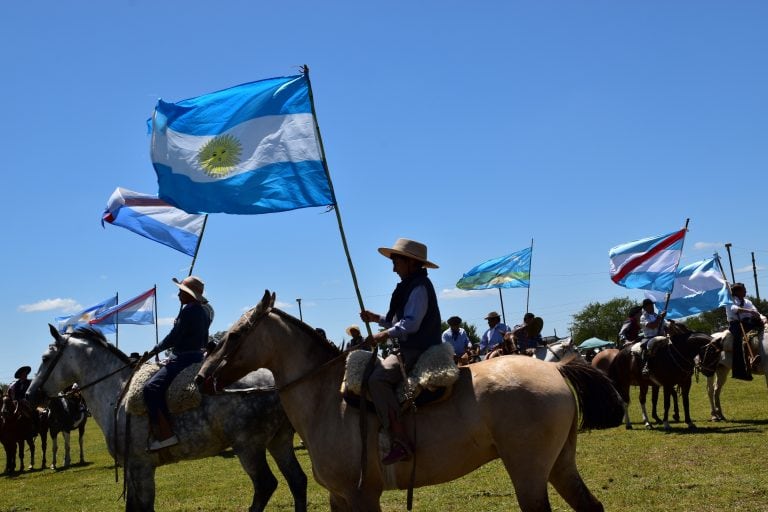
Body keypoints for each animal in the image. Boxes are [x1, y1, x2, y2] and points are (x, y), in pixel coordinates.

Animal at [27, 324, 308, 512]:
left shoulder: (141, 467)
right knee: (297, 481)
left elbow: (144, 507)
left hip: (248, 446)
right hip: (278, 441)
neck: (118, 392)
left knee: (266, 485)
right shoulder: (132, 469)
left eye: (45, 358)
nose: (30, 395)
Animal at [194, 290, 624, 510]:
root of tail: (554, 370)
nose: (200, 379)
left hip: (529, 472)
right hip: (559, 465)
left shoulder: (361, 496)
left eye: (235, 336)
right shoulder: (338, 497)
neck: (326, 400)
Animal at [592, 324, 720, 432]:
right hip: (624, 383)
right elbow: (666, 403)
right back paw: (631, 424)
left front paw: (689, 422)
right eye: (711, 352)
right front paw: (666, 423)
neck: (677, 353)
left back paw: (647, 423)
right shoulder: (667, 384)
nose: (709, 372)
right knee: (626, 401)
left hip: (642, 384)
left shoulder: (685, 383)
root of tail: (619, 354)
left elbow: (685, 401)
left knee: (640, 400)